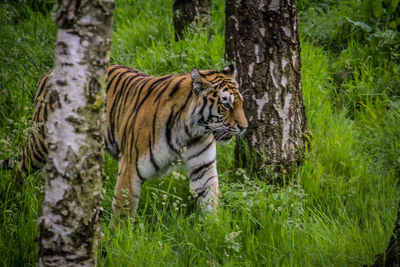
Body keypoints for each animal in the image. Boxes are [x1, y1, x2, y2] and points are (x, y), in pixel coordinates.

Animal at [0, 65, 247, 220]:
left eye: (241, 103)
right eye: (226, 104)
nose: (244, 127)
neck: (191, 131)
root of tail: (50, 72)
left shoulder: (203, 167)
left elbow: (210, 199)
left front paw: (213, 230)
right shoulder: (131, 167)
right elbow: (123, 211)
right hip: (41, 140)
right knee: (20, 166)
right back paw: (14, 198)